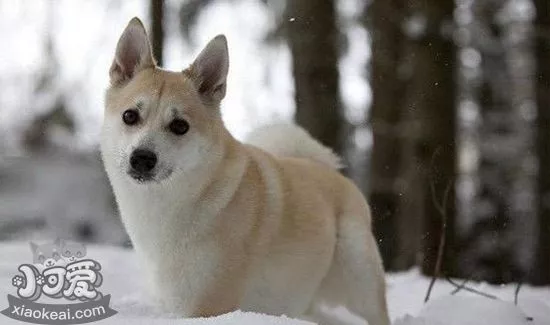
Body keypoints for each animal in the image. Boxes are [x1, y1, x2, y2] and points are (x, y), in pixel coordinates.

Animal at [100, 17, 392, 324]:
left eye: (180, 126)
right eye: (130, 116)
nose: (142, 158)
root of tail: (329, 169)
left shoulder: (208, 305)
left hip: (358, 269)